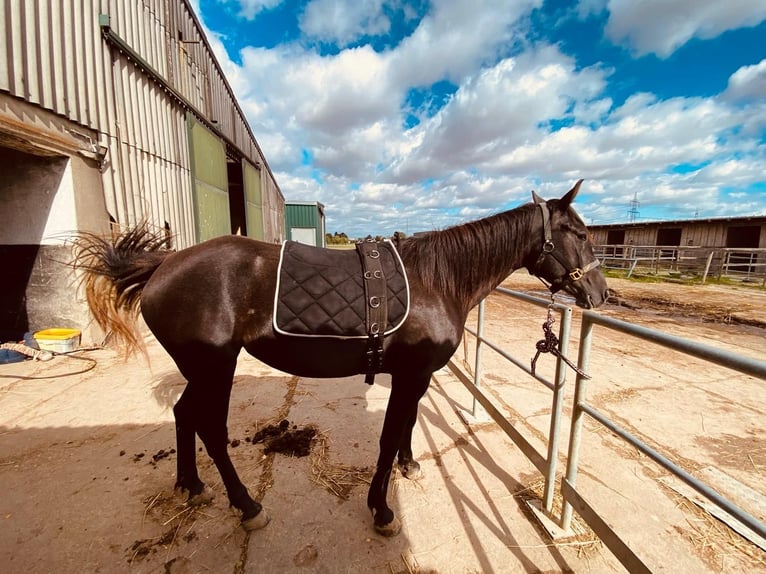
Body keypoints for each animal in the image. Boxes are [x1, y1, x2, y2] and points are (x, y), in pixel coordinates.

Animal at [72, 180, 608, 537]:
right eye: (579, 233)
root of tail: (165, 264)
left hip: (200, 369)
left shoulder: (413, 376)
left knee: (184, 414)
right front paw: (382, 510)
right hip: (215, 367)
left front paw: (408, 467)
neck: (438, 280)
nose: (601, 293)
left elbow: (408, 425)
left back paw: (190, 485)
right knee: (210, 428)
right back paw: (247, 507)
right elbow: (389, 436)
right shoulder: (411, 374)